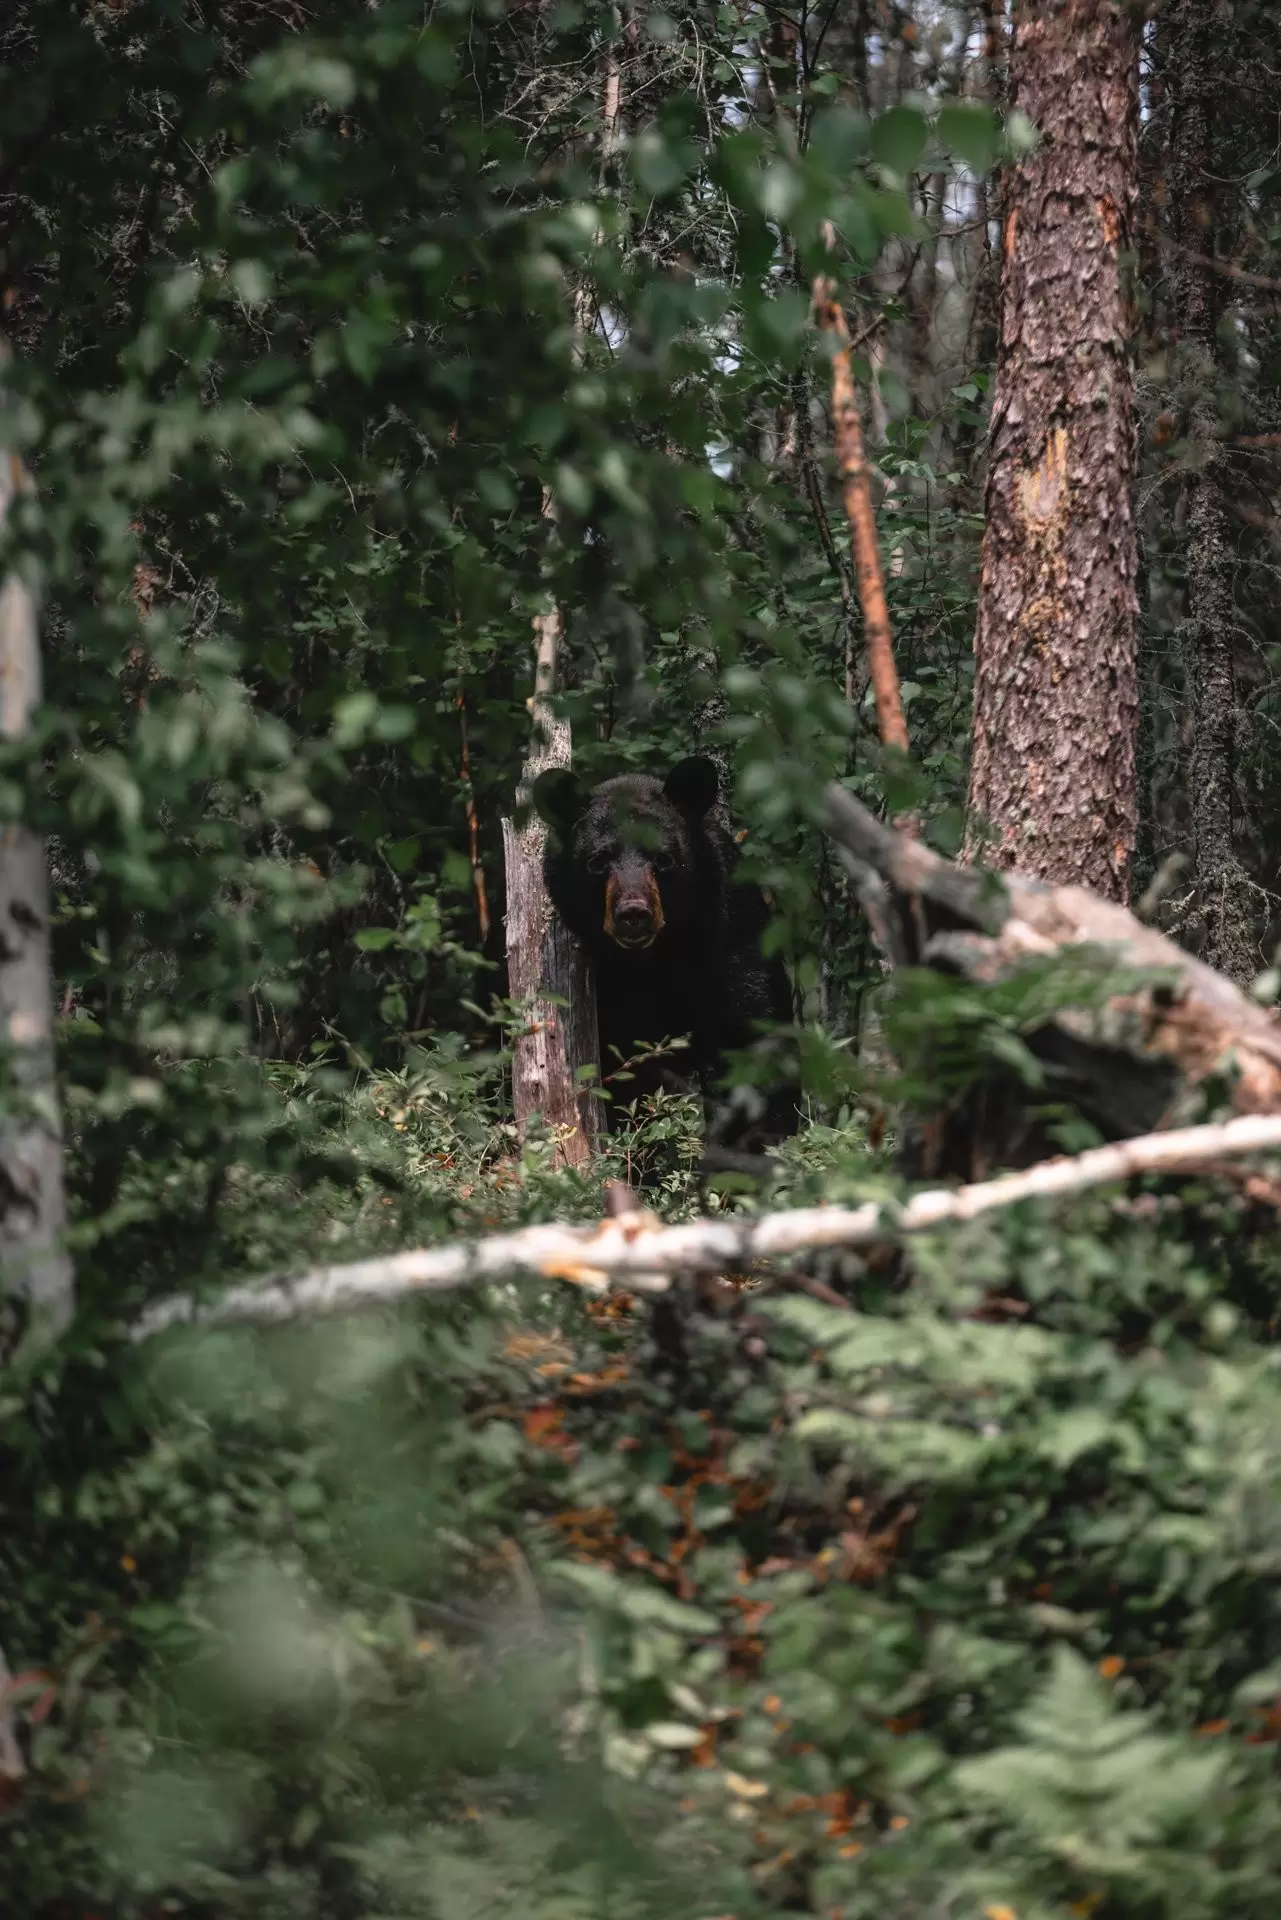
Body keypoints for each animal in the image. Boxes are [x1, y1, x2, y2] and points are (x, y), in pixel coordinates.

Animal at [531, 755, 798, 1155]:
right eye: (598, 860)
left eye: (664, 858)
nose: (633, 913)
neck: (655, 960)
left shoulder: (731, 937)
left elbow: (751, 1037)